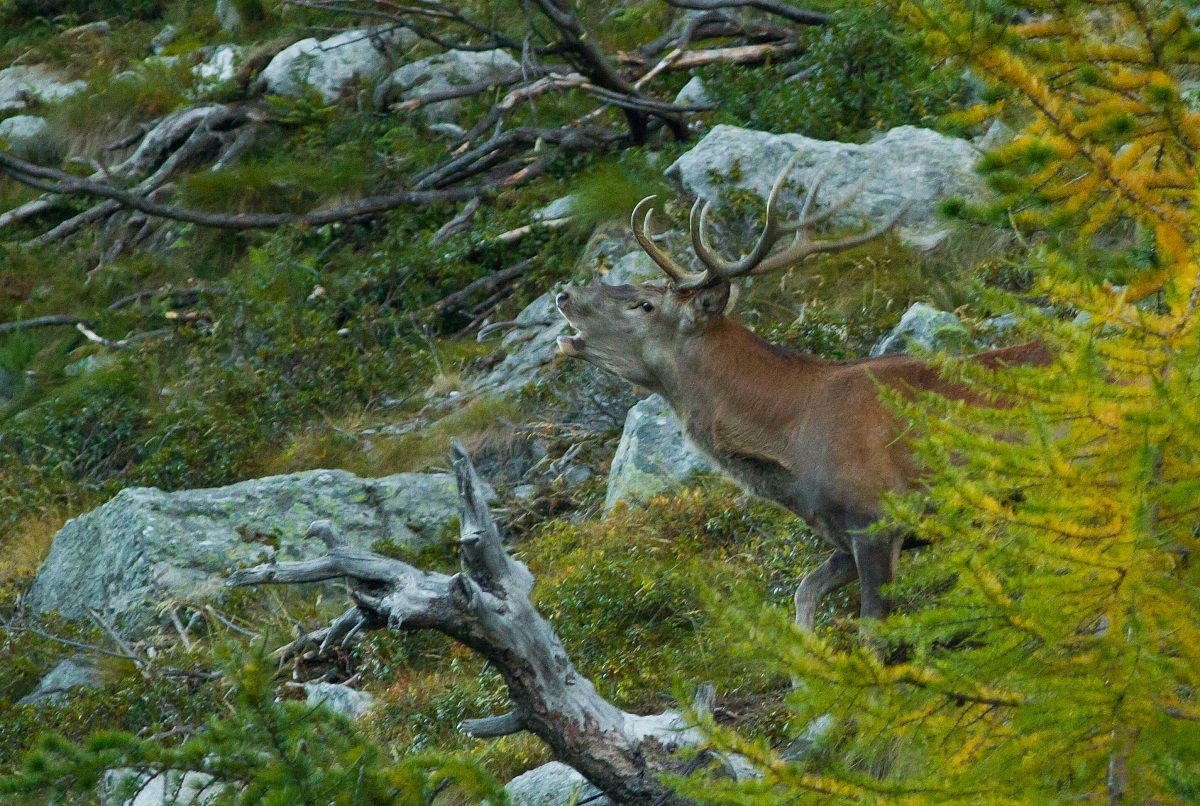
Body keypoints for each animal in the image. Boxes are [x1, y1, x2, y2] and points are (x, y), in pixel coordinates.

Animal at [554, 156, 1049, 631]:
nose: (564, 294)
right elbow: (803, 592)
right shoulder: (846, 535)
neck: (793, 444)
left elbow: (871, 632)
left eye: (644, 305)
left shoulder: (878, 518)